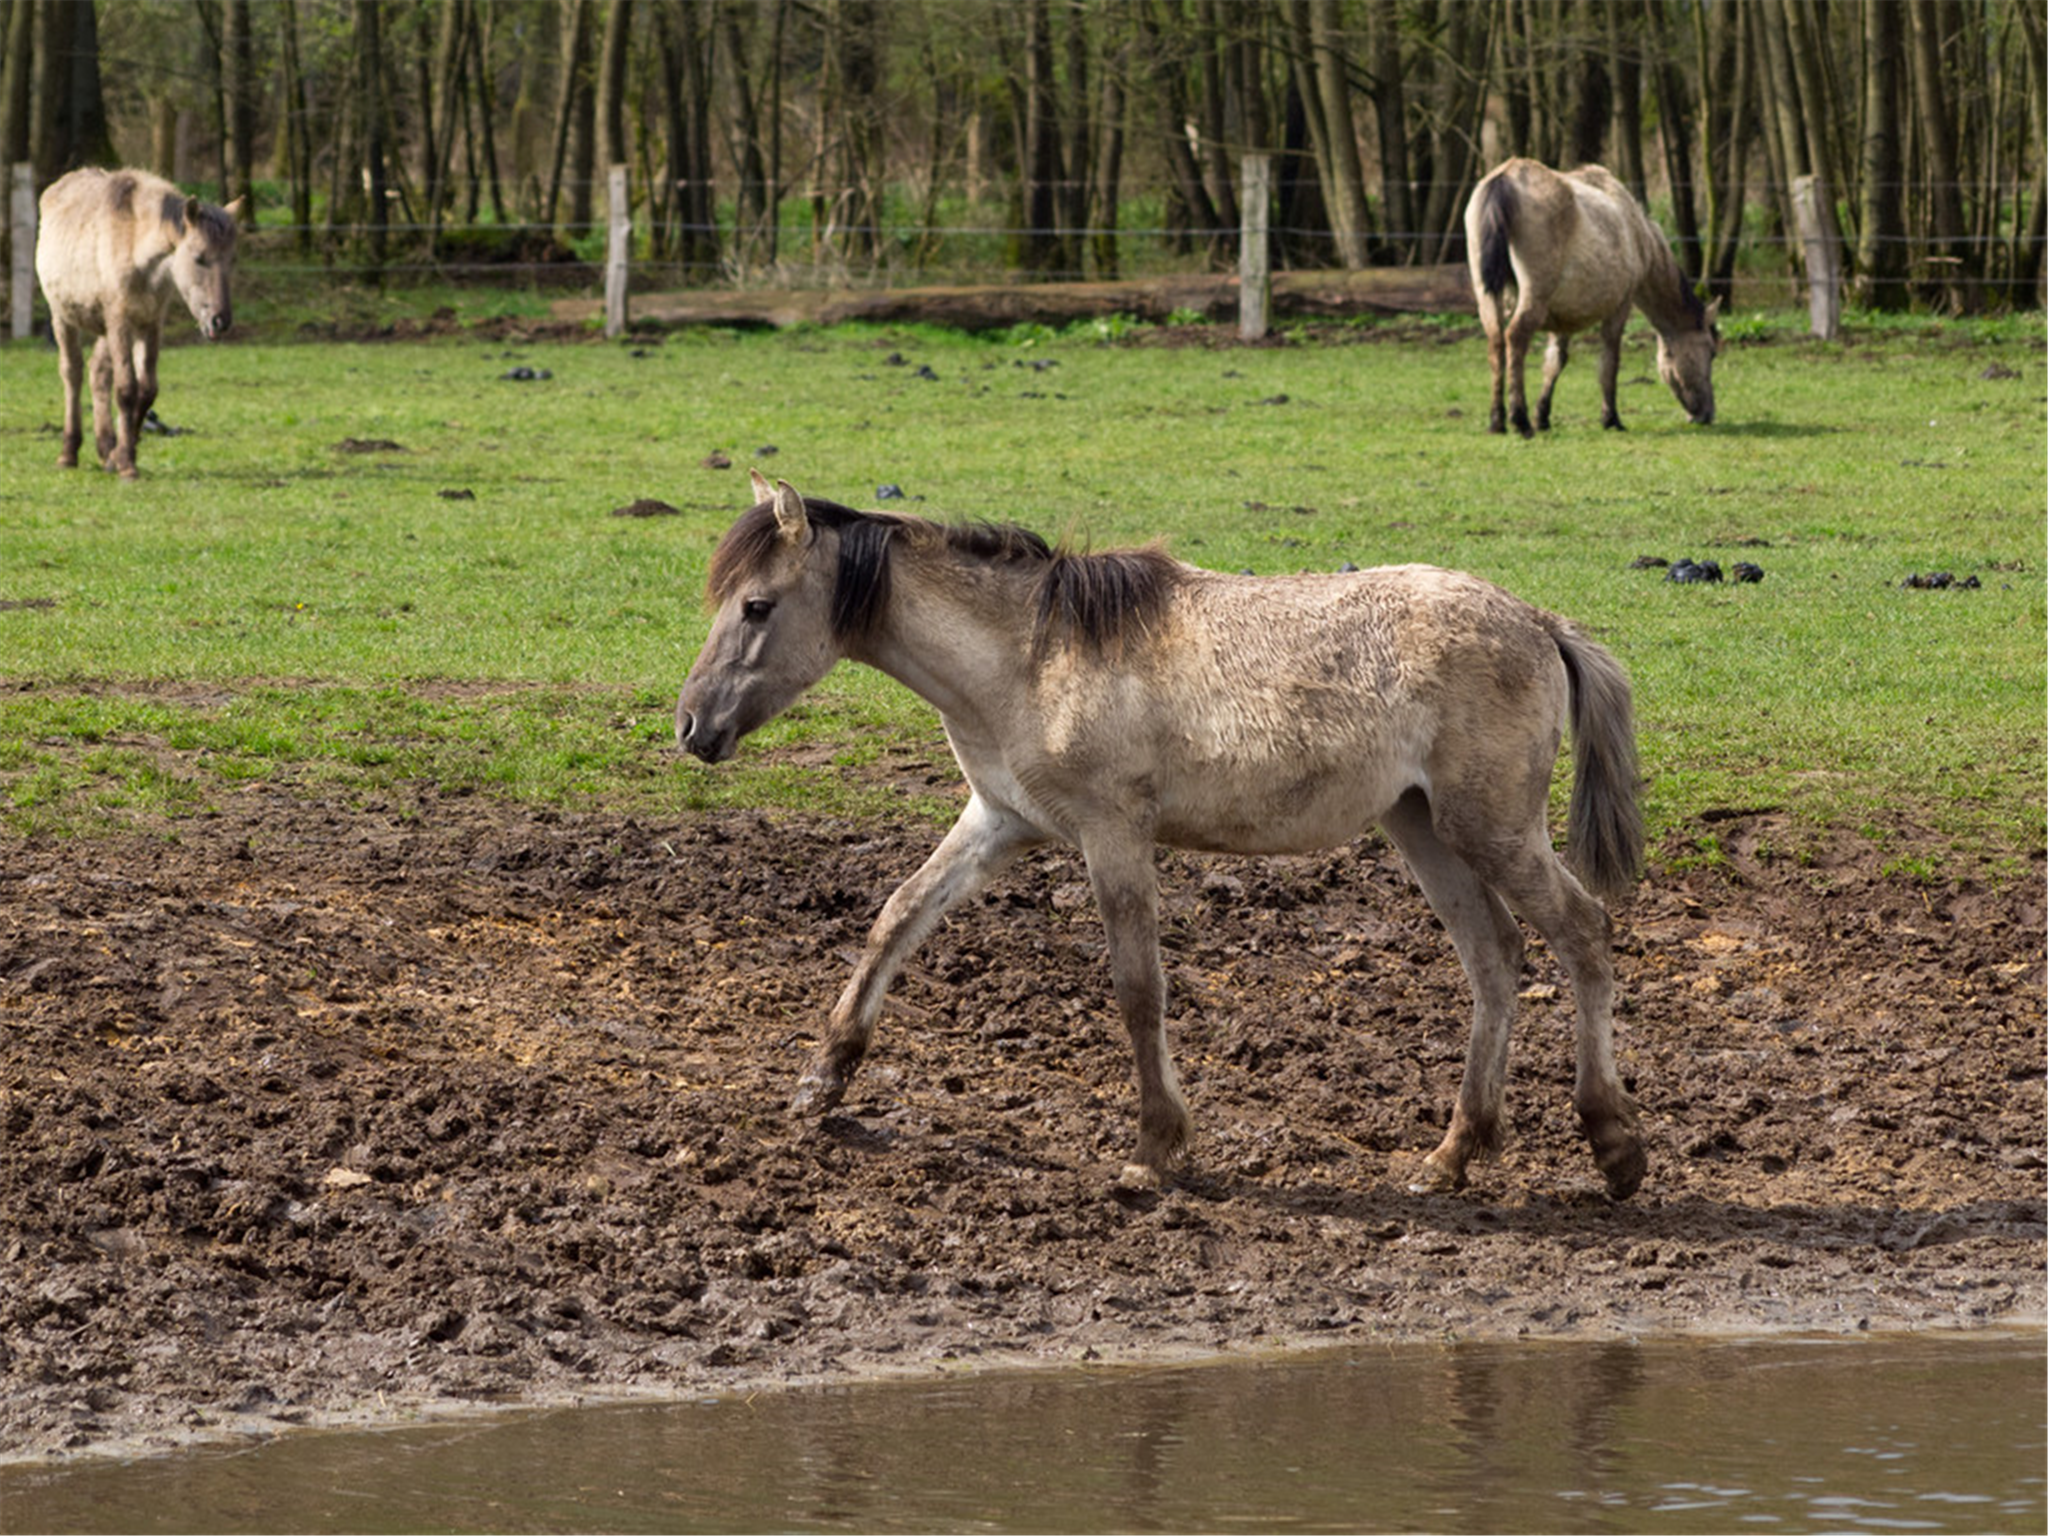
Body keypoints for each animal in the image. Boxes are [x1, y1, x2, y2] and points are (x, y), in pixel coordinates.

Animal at [36, 164, 243, 479]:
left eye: (231, 260)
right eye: (199, 258)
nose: (220, 320)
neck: (133, 245)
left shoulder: (150, 323)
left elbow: (146, 390)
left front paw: (120, 453)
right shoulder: (120, 321)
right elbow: (126, 389)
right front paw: (126, 465)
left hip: (106, 330)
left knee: (98, 373)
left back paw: (105, 446)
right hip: (63, 317)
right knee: (72, 374)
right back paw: (68, 452)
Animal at [671, 475, 1646, 1212]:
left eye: (757, 606)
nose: (691, 727)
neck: (1030, 659)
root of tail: (1540, 621)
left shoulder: (1113, 836)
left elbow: (1138, 988)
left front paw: (1153, 1149)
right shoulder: (997, 822)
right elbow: (897, 918)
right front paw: (821, 1081)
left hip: (1489, 827)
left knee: (1582, 932)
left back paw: (1613, 1145)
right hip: (1423, 826)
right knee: (1496, 957)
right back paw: (1451, 1157)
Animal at [1466, 157, 1720, 438]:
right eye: (1711, 352)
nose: (1707, 414)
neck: (1637, 233)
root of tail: (1507, 176)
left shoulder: (1561, 318)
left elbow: (1555, 362)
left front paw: (1543, 416)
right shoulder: (1620, 307)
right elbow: (1609, 362)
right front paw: (1611, 418)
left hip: (1488, 298)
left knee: (1496, 342)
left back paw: (1497, 421)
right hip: (1533, 299)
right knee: (1515, 338)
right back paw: (1519, 419)